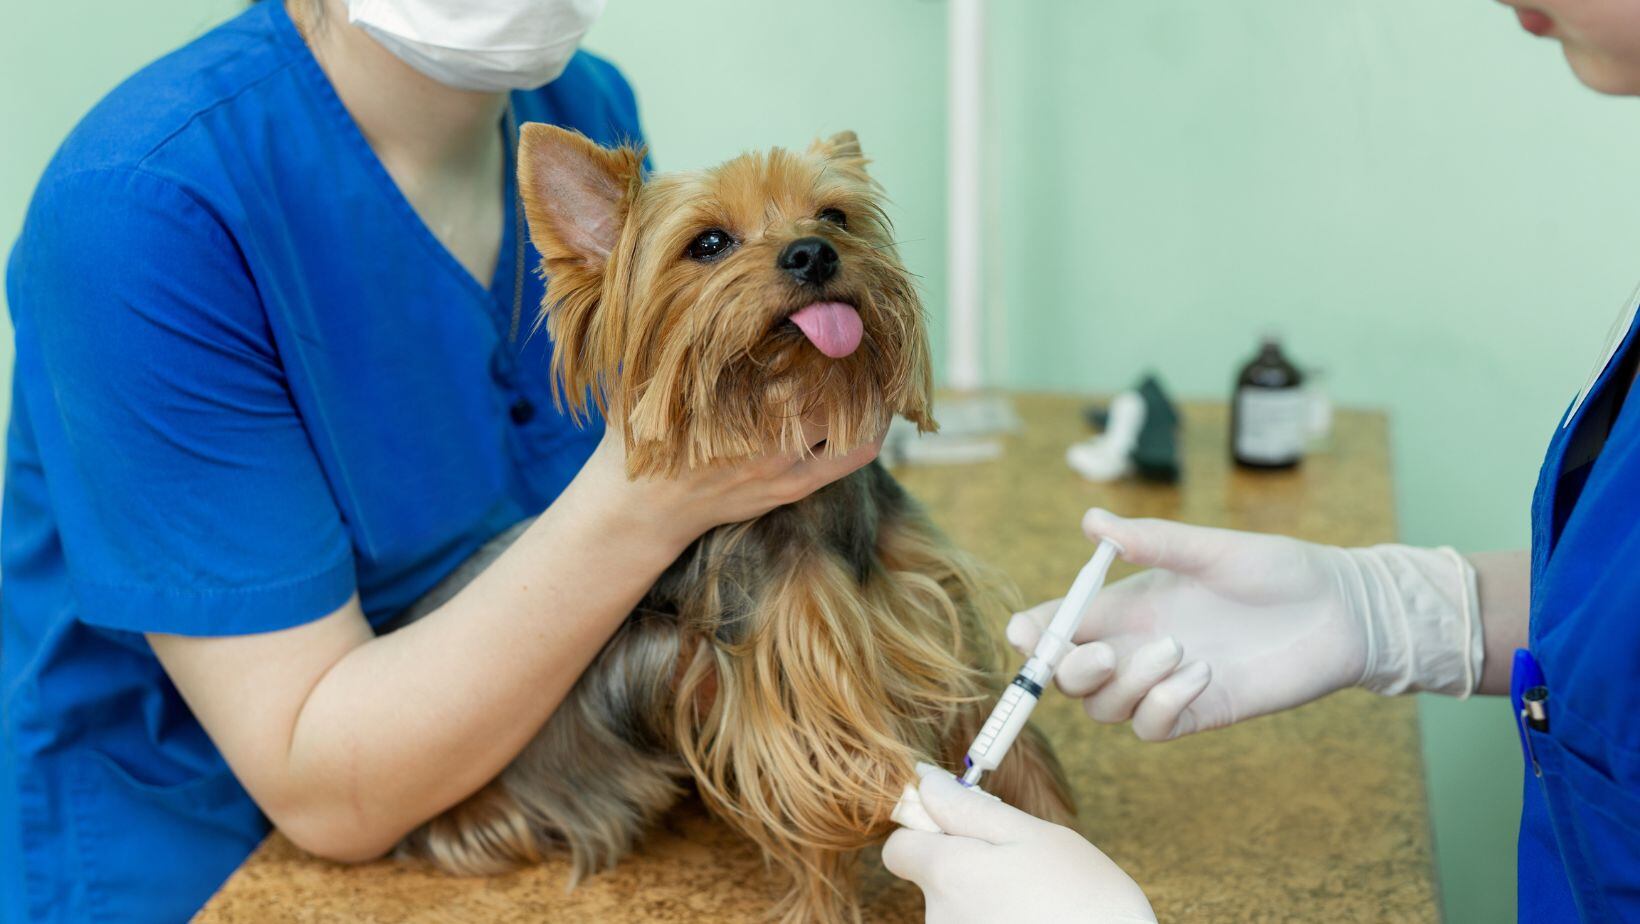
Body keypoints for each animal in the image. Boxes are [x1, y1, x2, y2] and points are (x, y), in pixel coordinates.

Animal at [390, 124, 1069, 924]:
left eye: (834, 215)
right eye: (709, 243)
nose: (813, 253)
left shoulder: (936, 613)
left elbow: (1006, 740)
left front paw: (1046, 844)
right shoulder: (786, 678)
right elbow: (823, 800)